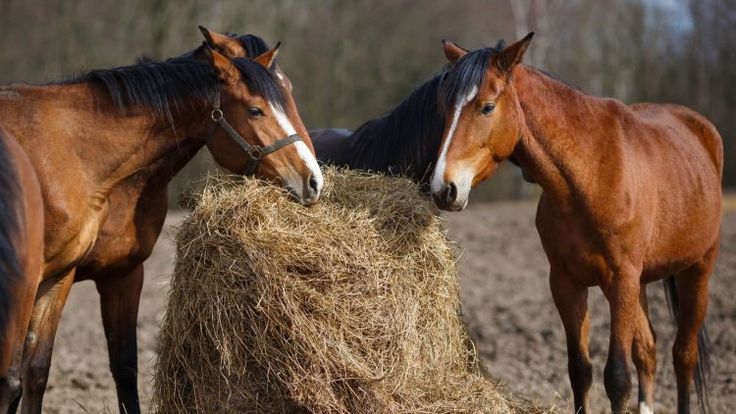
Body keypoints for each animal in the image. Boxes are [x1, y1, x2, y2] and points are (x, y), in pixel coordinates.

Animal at [0, 27, 322, 412]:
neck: (69, 150)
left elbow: (66, 369)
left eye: (287, 88)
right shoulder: (28, 282)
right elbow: (12, 381)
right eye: (256, 109)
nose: (313, 178)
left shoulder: (96, 275)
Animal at [428, 33, 720, 414]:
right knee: (648, 350)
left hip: (696, 269)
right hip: (641, 283)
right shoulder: (567, 284)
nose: (442, 188)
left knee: (684, 355)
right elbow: (580, 371)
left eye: (487, 107)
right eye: (445, 108)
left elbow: (617, 377)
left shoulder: (621, 280)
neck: (591, 176)